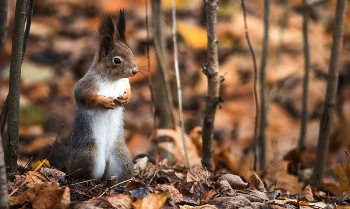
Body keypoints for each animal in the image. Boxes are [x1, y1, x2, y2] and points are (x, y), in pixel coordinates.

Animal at [67, 10, 137, 181]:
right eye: (117, 60)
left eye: (132, 53)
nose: (135, 71)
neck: (113, 80)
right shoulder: (86, 85)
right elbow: (82, 96)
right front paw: (105, 103)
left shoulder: (125, 84)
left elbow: (129, 91)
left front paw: (125, 98)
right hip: (89, 156)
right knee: (80, 173)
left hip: (121, 158)